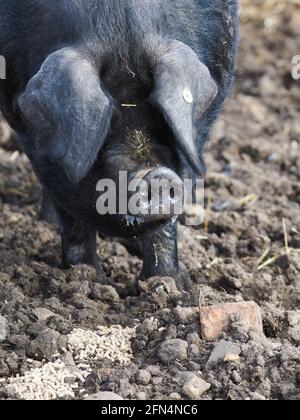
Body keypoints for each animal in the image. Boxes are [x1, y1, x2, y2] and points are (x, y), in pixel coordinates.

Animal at [0, 0, 239, 282]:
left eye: (163, 125)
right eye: (104, 134)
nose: (156, 175)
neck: (119, 29)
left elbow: (164, 227)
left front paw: (167, 283)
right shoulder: (44, 156)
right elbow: (72, 220)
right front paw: (86, 278)